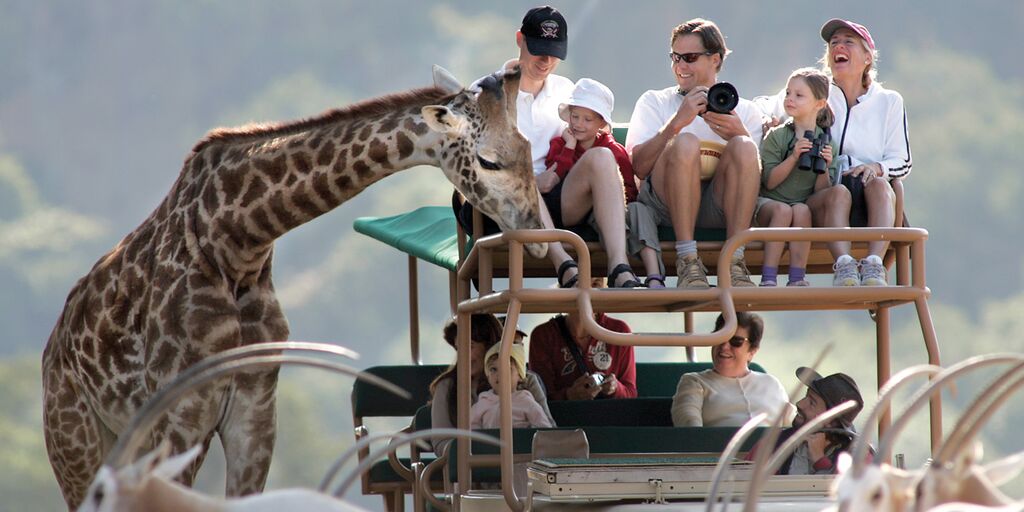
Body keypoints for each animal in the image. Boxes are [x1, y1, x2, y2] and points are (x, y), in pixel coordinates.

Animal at [42, 65, 546, 509]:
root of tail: (53, 352)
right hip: (76, 441)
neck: (238, 242)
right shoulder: (180, 413)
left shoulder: (255, 408)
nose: (538, 231)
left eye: (528, 146)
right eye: (489, 160)